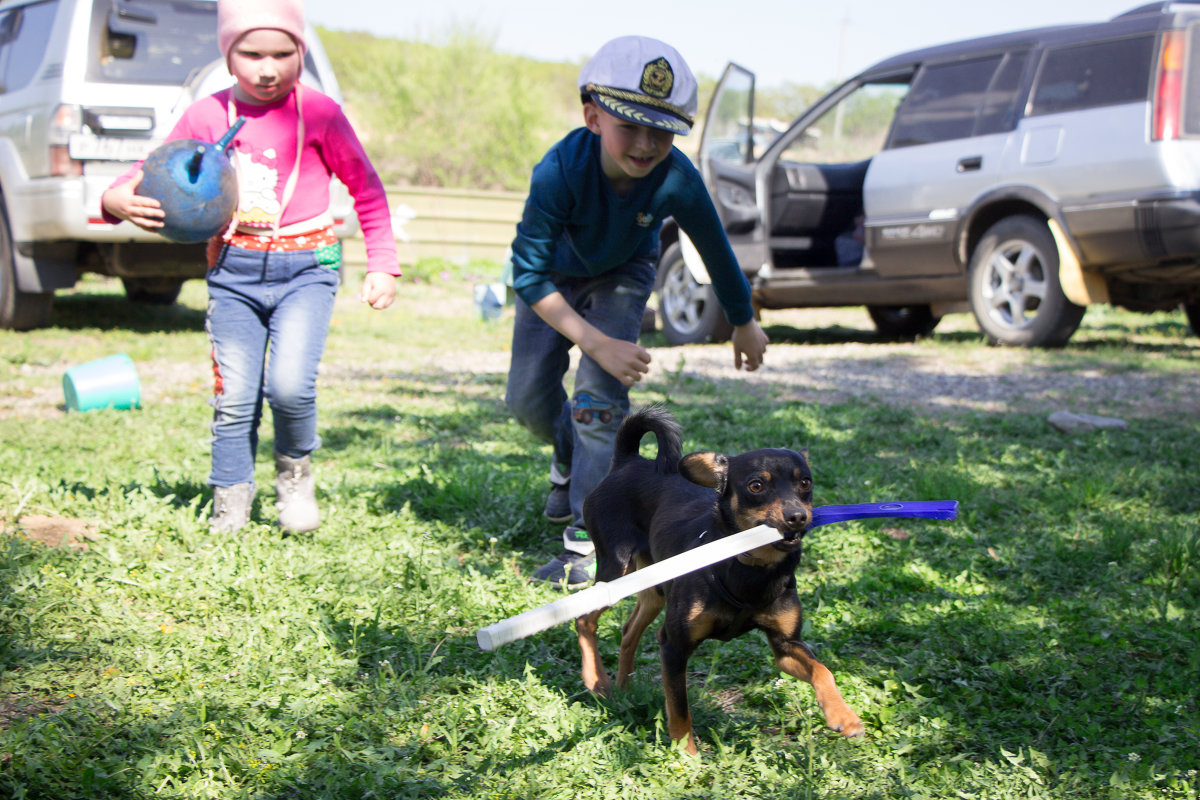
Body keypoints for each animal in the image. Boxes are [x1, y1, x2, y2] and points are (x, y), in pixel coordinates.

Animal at [576, 410, 859, 753]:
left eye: (805, 482)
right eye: (756, 485)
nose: (797, 517)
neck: (750, 568)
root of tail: (627, 461)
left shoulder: (786, 646)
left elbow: (823, 671)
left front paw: (843, 715)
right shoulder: (674, 645)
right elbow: (679, 708)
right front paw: (685, 755)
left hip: (654, 589)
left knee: (629, 630)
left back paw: (623, 689)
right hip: (616, 570)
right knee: (583, 620)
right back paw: (597, 681)